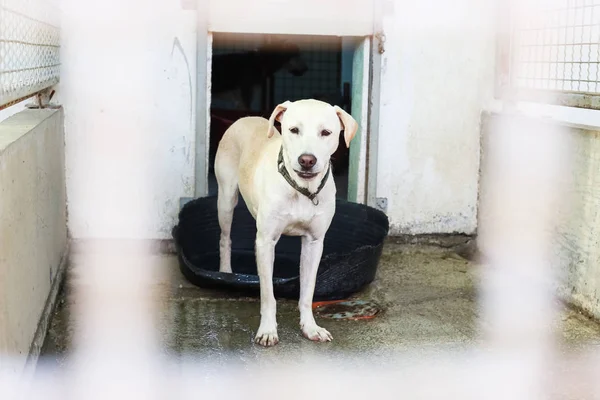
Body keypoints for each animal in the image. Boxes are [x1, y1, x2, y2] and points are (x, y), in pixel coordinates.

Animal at [214, 99, 356, 346]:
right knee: (225, 238)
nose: (307, 160)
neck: (301, 189)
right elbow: (268, 295)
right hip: (226, 199)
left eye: (326, 133)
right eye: (294, 130)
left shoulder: (314, 243)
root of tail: (245, 118)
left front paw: (310, 327)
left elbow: (307, 292)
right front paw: (268, 330)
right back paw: (225, 272)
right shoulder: (266, 241)